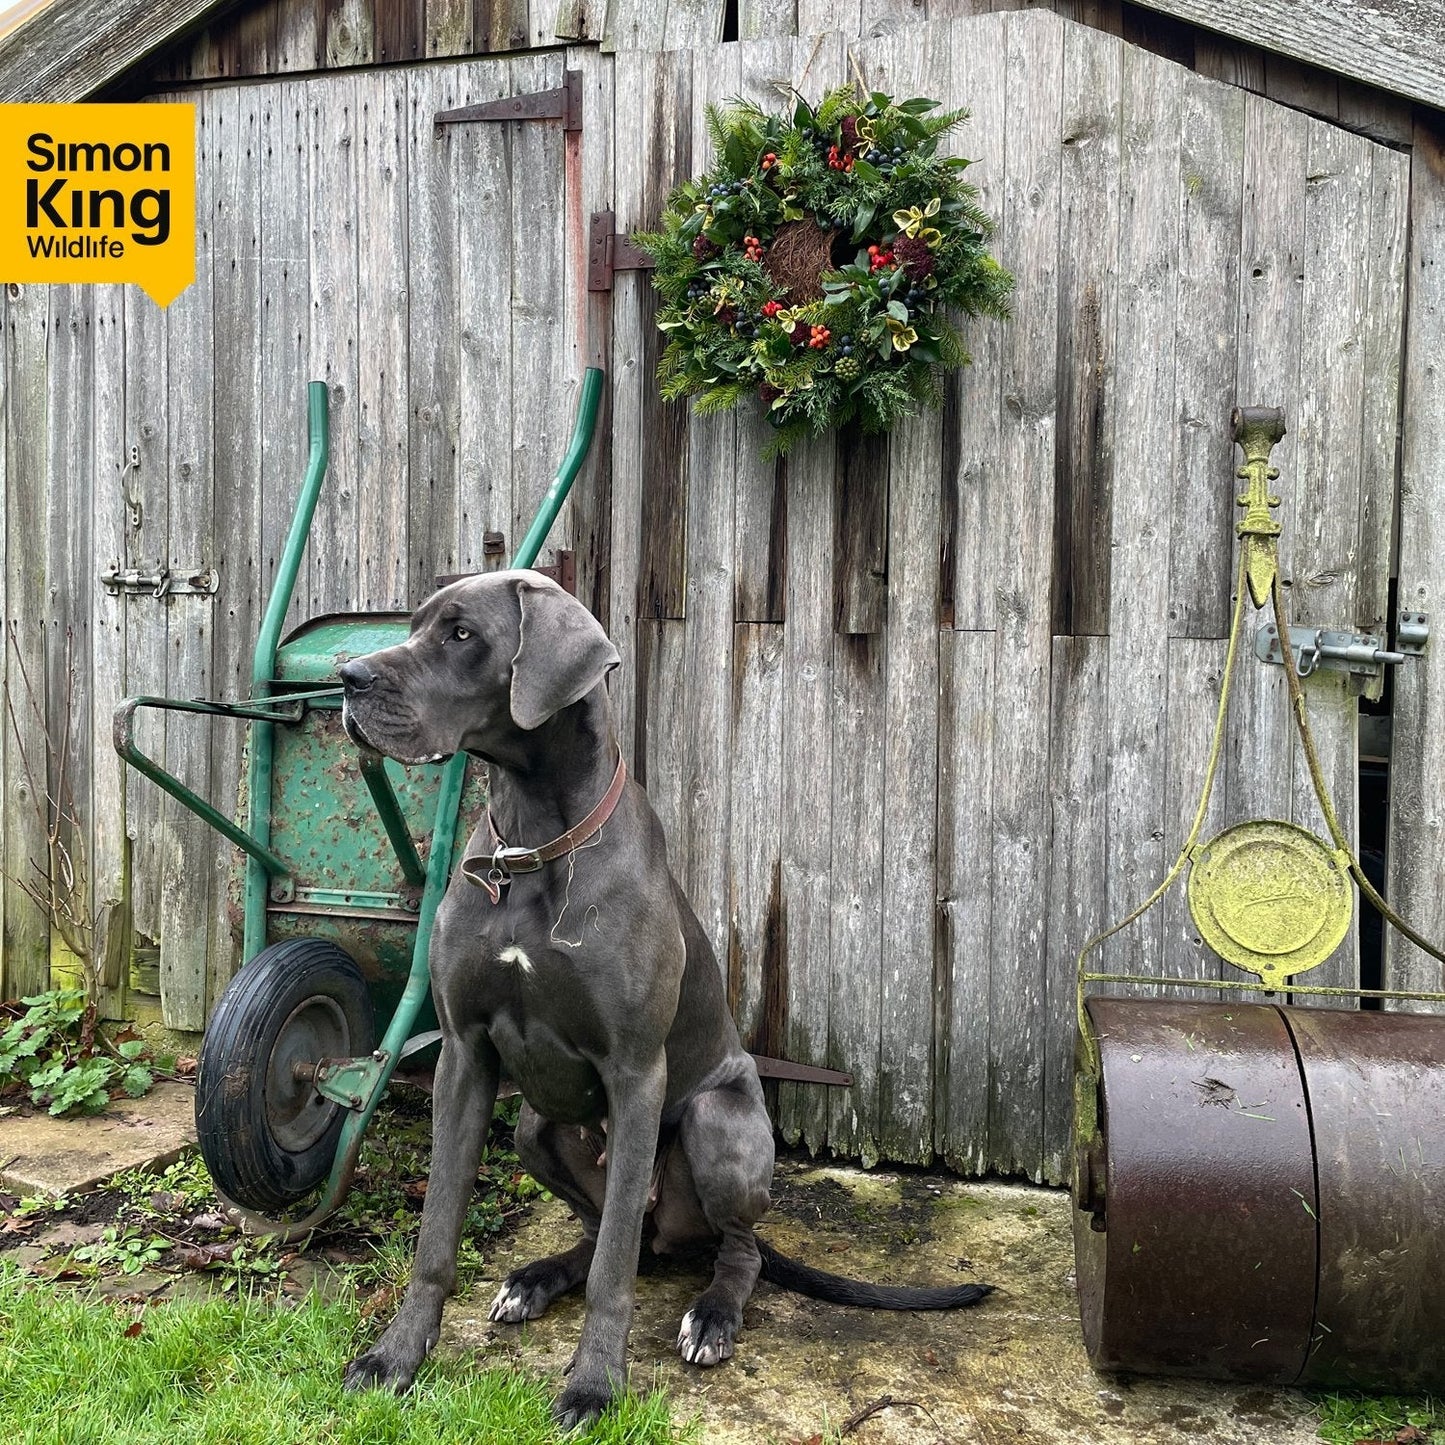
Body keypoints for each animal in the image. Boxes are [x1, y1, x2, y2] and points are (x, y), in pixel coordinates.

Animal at [338, 569, 994, 1427]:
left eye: (460, 634)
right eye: (414, 624)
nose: (345, 677)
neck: (535, 836)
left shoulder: (634, 1070)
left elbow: (614, 1273)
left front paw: (592, 1384)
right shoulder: (464, 1056)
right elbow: (435, 1236)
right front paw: (395, 1356)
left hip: (718, 1124)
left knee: (721, 1249)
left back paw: (711, 1316)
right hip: (535, 1126)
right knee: (608, 1230)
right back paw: (537, 1276)